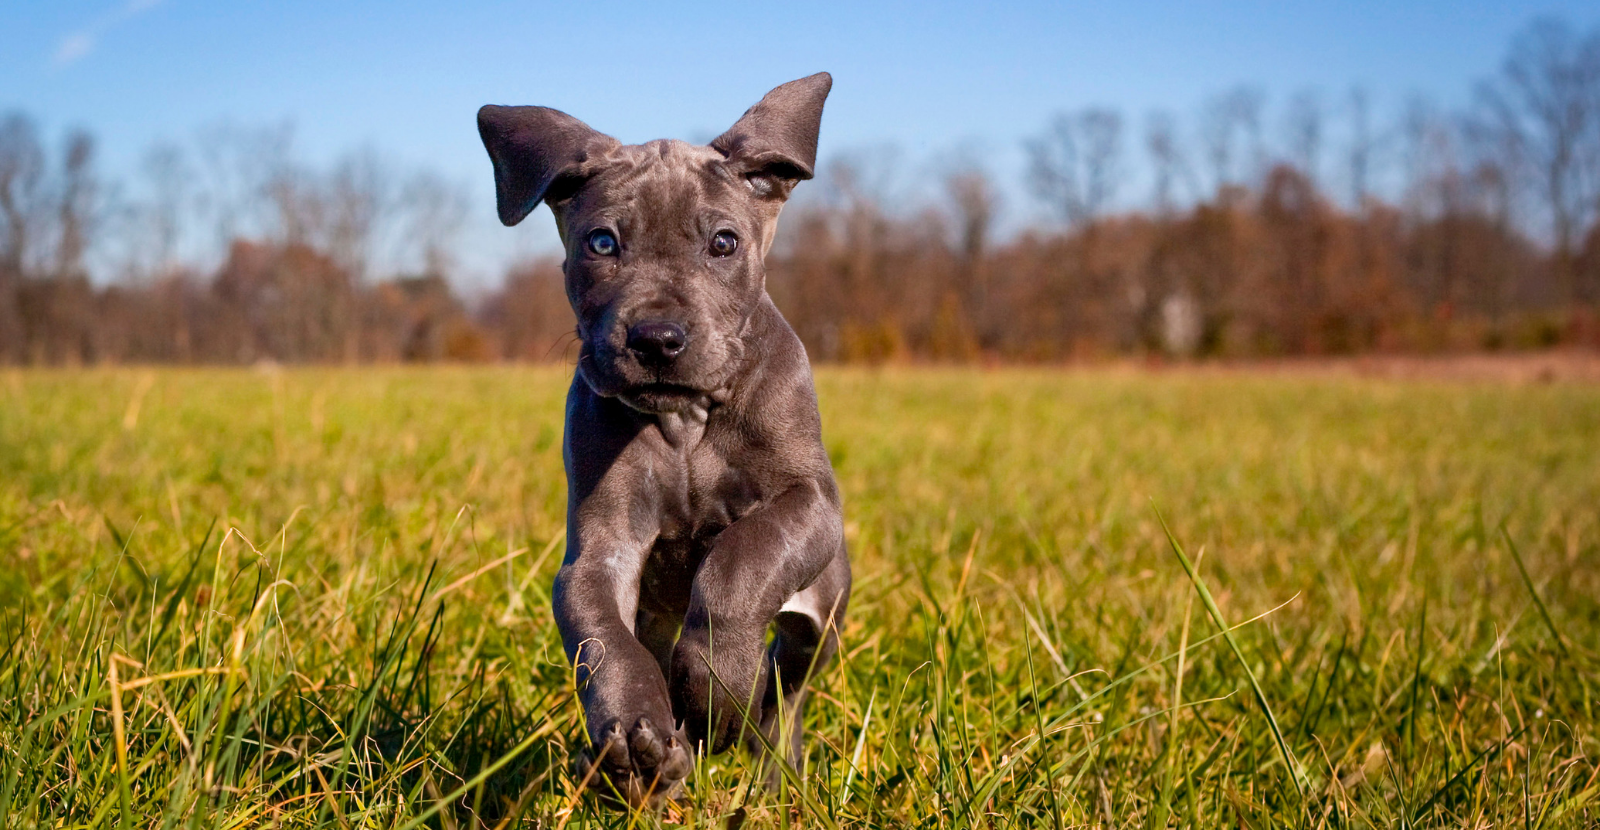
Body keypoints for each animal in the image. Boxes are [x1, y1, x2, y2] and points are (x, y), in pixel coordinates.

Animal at [473, 74, 851, 809]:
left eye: (724, 243)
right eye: (601, 243)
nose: (657, 340)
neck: (687, 423)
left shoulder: (810, 501)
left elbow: (741, 559)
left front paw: (716, 687)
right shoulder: (601, 549)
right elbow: (604, 643)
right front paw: (635, 741)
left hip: (820, 614)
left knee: (787, 691)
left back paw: (772, 767)